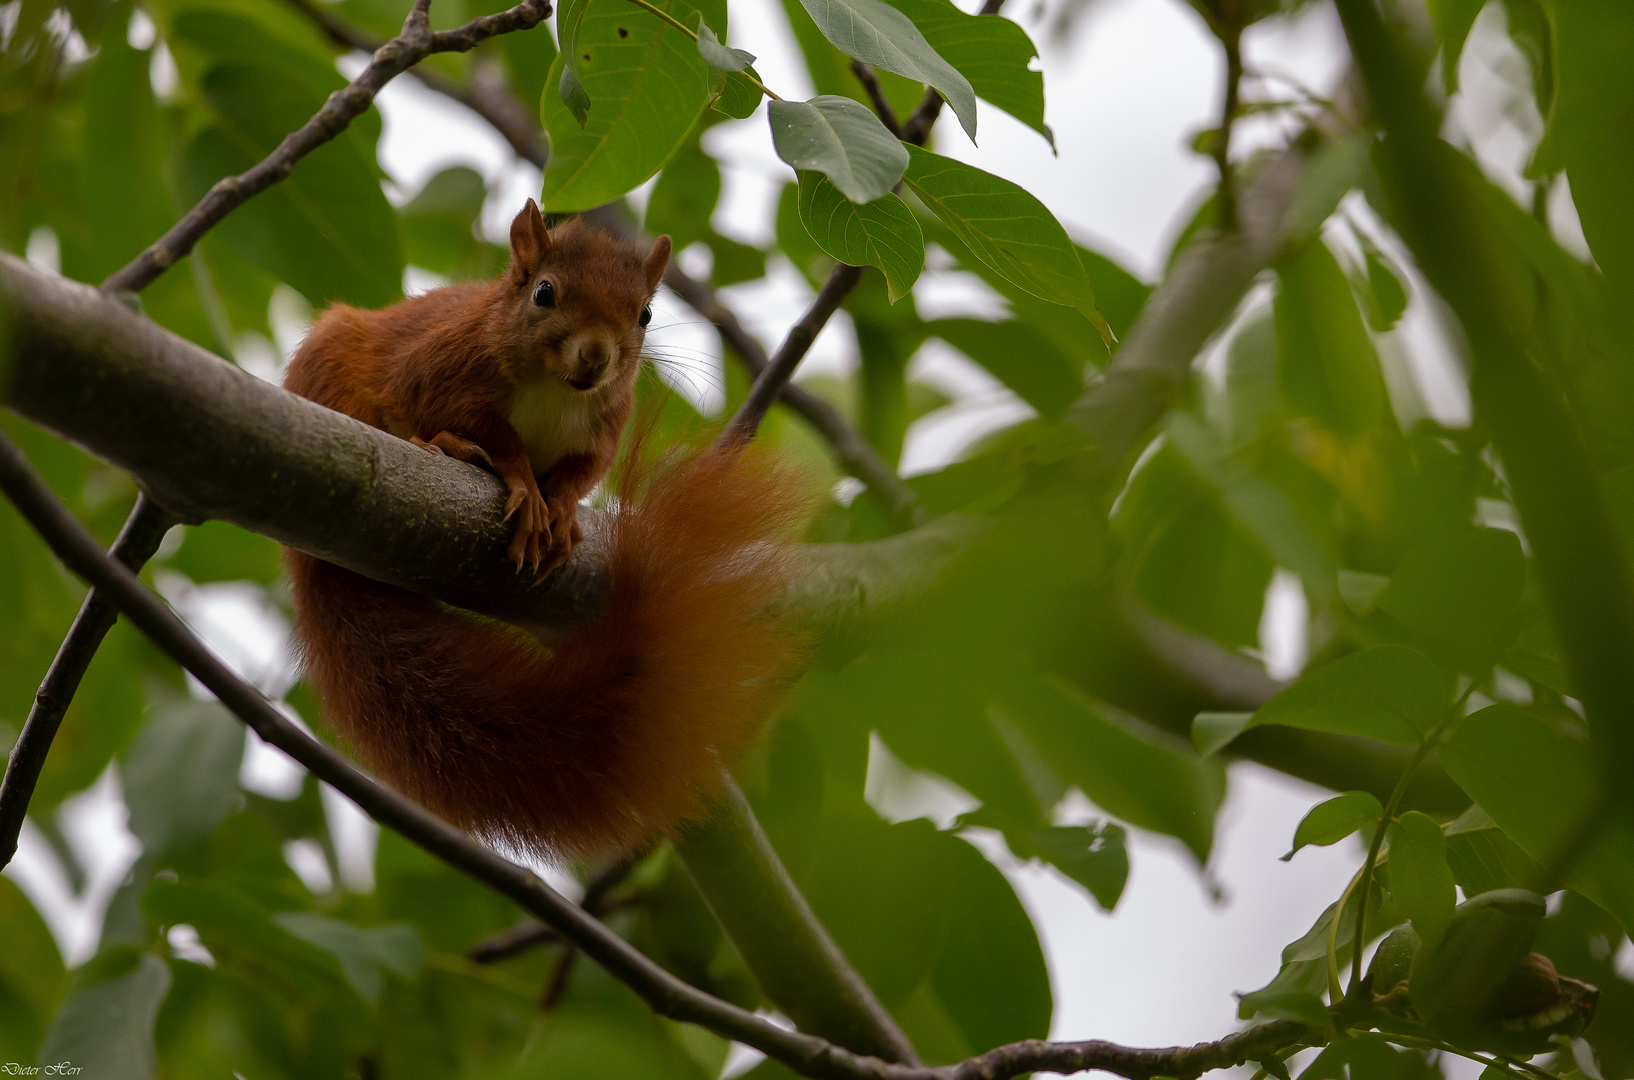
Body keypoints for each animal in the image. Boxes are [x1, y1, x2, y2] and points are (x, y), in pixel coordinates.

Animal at [289, 202, 817, 856]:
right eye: (545, 293)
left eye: (644, 314)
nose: (595, 356)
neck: (553, 390)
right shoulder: (440, 369)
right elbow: (493, 436)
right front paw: (519, 484)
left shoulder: (602, 429)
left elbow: (578, 473)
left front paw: (559, 510)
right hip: (331, 363)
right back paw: (442, 447)